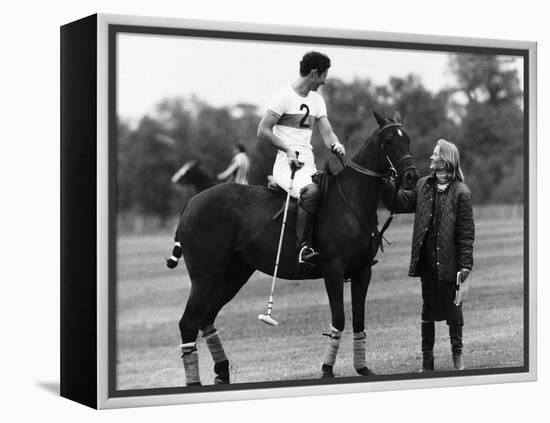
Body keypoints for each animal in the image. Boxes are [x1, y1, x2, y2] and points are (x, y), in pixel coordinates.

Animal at [168, 108, 418, 384]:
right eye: (388, 140)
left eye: (407, 139)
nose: (411, 176)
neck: (352, 200)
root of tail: (191, 203)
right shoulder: (333, 269)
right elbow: (339, 318)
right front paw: (326, 369)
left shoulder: (363, 270)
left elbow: (359, 320)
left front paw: (363, 368)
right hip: (205, 276)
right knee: (188, 322)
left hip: (235, 273)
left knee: (206, 318)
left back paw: (222, 372)